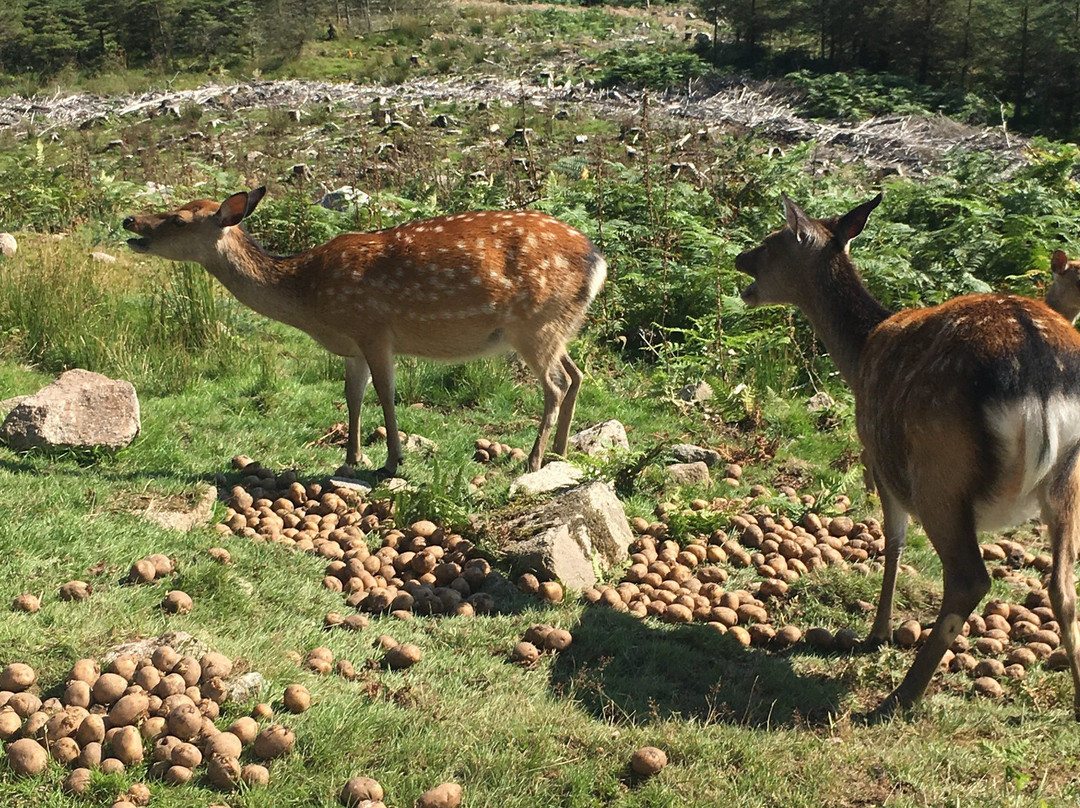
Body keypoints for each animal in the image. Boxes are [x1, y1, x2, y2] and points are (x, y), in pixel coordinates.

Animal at [124, 185, 609, 477]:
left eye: (179, 219)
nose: (130, 222)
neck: (309, 299)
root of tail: (597, 260)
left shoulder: (374, 328)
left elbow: (385, 394)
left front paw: (393, 460)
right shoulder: (351, 345)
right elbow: (352, 396)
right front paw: (351, 457)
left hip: (535, 323)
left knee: (556, 384)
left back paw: (535, 459)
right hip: (558, 326)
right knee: (577, 375)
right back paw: (562, 452)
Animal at [734, 194, 1080, 721]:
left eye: (772, 243)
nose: (739, 259)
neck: (859, 354)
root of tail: (1039, 375)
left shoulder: (877, 454)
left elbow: (893, 540)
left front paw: (876, 633)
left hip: (939, 468)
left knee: (969, 578)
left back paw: (898, 697)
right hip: (1068, 481)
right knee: (1064, 586)